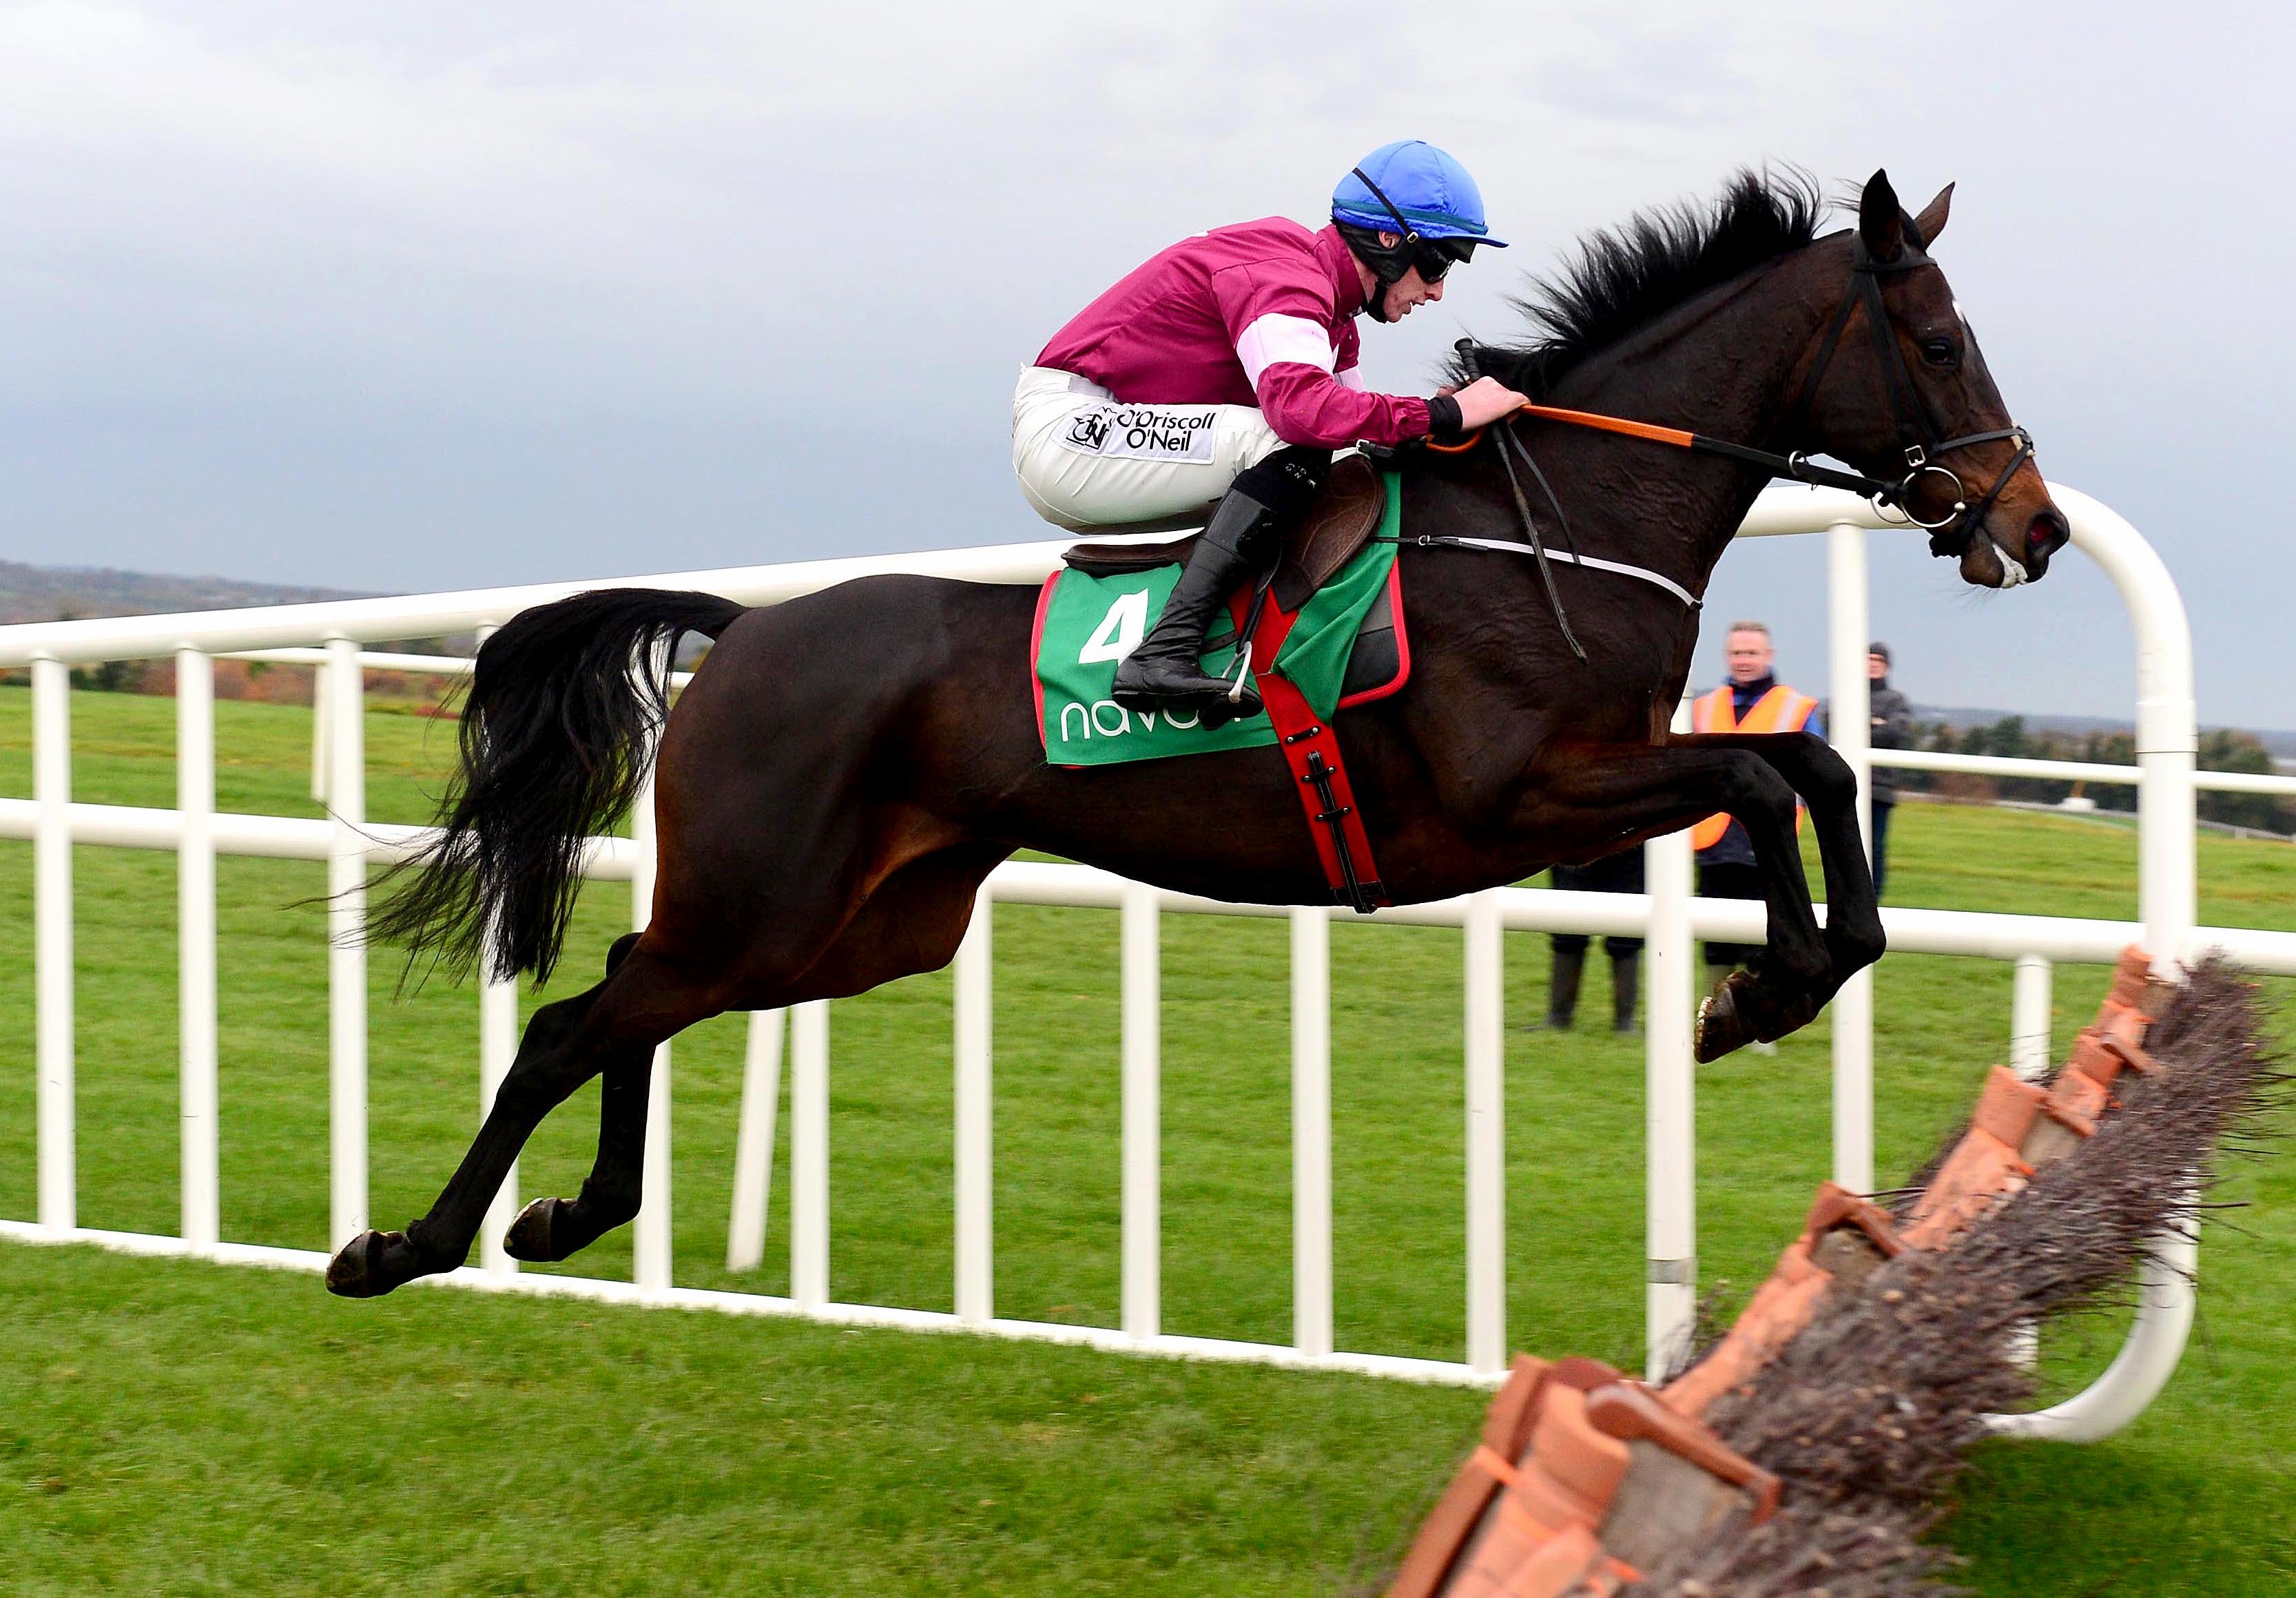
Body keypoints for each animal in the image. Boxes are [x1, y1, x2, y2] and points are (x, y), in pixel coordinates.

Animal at [327, 168, 2068, 1298]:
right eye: (1934, 339)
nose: (2033, 522)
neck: (1561, 520)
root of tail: (749, 629)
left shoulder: (1596, 789)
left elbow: (1810, 764)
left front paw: (1793, 970)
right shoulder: (1523, 794)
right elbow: (1757, 777)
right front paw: (1753, 989)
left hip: (854, 921)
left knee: (633, 998)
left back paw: (565, 1216)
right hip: (769, 893)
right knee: (574, 1021)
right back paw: (405, 1244)